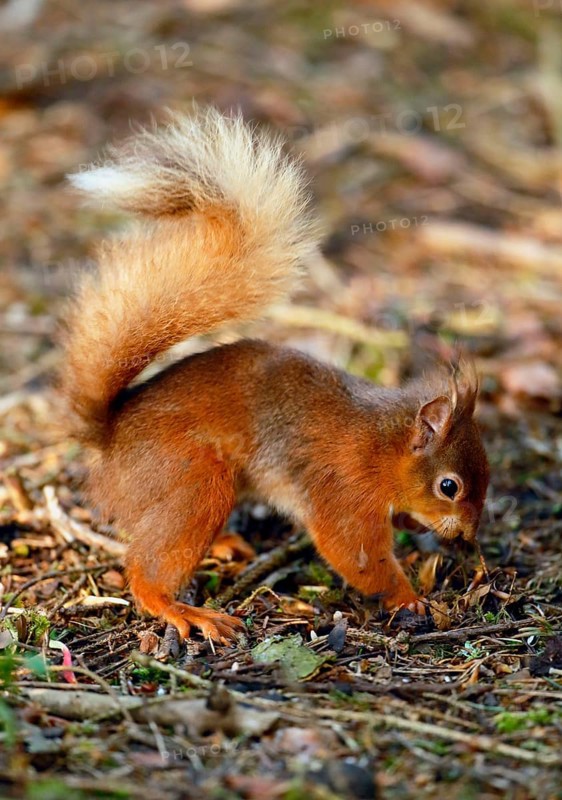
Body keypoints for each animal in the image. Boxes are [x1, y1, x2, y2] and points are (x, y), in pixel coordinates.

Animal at [61, 108, 490, 643]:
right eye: (449, 486)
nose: (470, 535)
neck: (381, 444)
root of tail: (108, 439)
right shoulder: (343, 488)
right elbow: (356, 552)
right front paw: (410, 597)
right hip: (194, 480)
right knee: (145, 569)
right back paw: (182, 610)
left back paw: (226, 546)